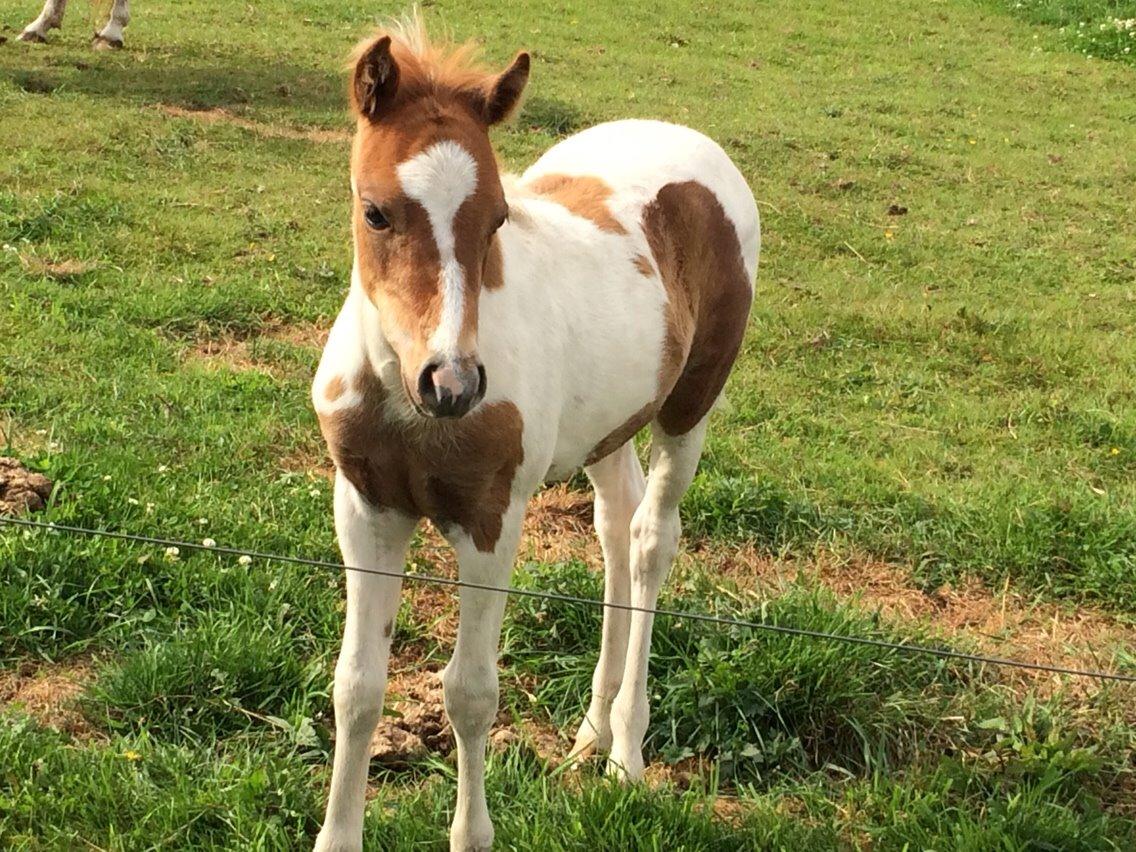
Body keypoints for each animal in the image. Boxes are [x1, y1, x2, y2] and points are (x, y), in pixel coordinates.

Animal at [311, 20, 758, 852]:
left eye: (496, 219)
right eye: (376, 212)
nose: (452, 385)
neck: (403, 398)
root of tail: (692, 140)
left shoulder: (493, 520)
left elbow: (470, 694)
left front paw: (471, 834)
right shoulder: (366, 507)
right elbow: (357, 685)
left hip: (691, 404)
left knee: (652, 539)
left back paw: (626, 750)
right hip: (607, 425)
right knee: (615, 524)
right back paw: (589, 734)